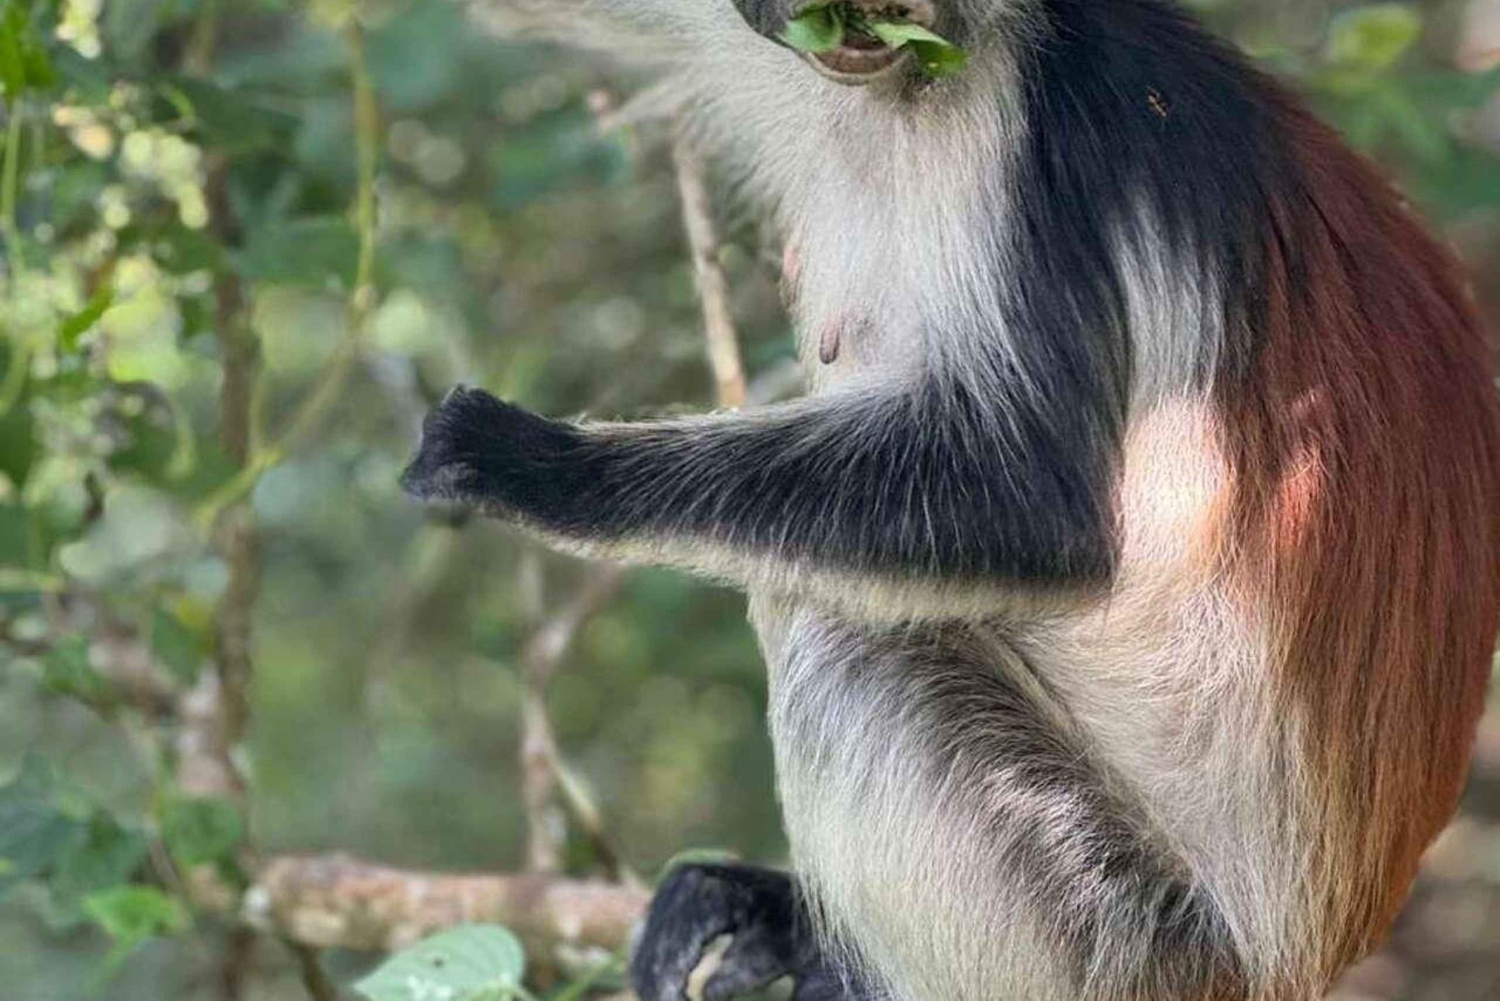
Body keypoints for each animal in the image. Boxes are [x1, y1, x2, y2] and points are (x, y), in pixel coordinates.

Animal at [399, 1, 1500, 999]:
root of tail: (1307, 947)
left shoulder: (1033, 136)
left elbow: (1028, 499)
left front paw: (535, 466)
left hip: (1120, 928)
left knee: (844, 640)